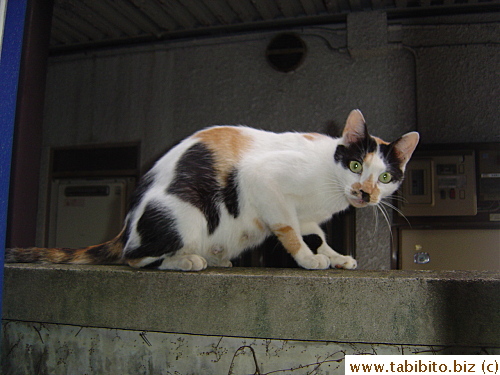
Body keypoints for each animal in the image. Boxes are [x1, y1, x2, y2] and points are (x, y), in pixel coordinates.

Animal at [5, 110, 418, 272]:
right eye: (356, 166)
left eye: (385, 177)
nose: (364, 193)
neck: (329, 186)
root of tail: (125, 229)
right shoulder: (265, 181)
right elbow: (289, 230)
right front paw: (308, 259)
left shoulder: (308, 216)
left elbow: (314, 233)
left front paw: (336, 257)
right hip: (183, 214)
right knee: (135, 258)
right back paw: (187, 260)